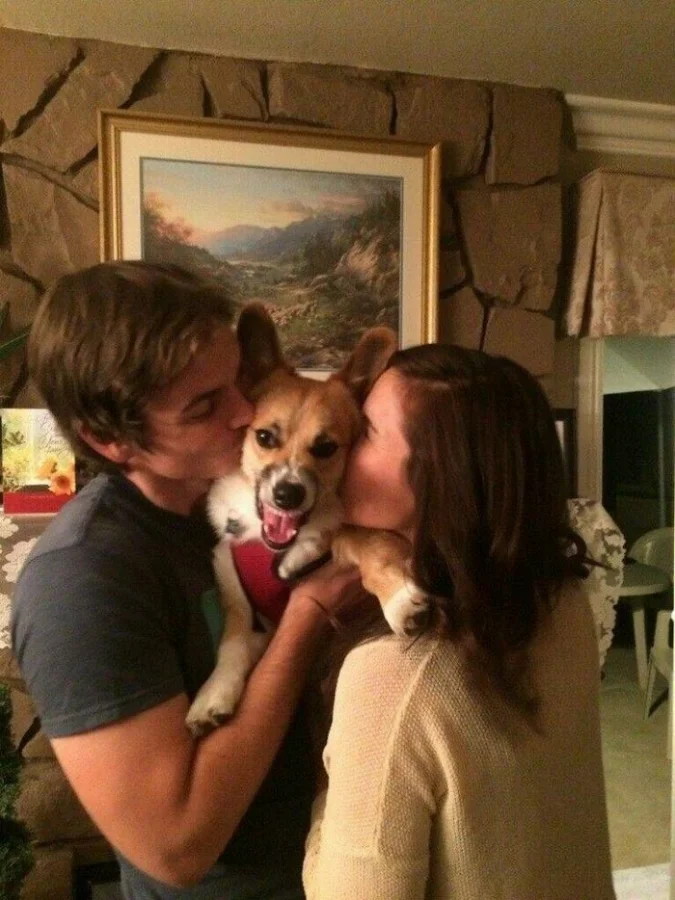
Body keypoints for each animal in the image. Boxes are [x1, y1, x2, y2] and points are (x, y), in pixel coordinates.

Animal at [185, 304, 427, 736]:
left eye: (326, 447)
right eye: (264, 437)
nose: (288, 494)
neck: (271, 548)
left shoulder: (354, 537)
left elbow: (367, 544)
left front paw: (400, 601)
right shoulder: (245, 605)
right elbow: (231, 641)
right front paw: (212, 696)